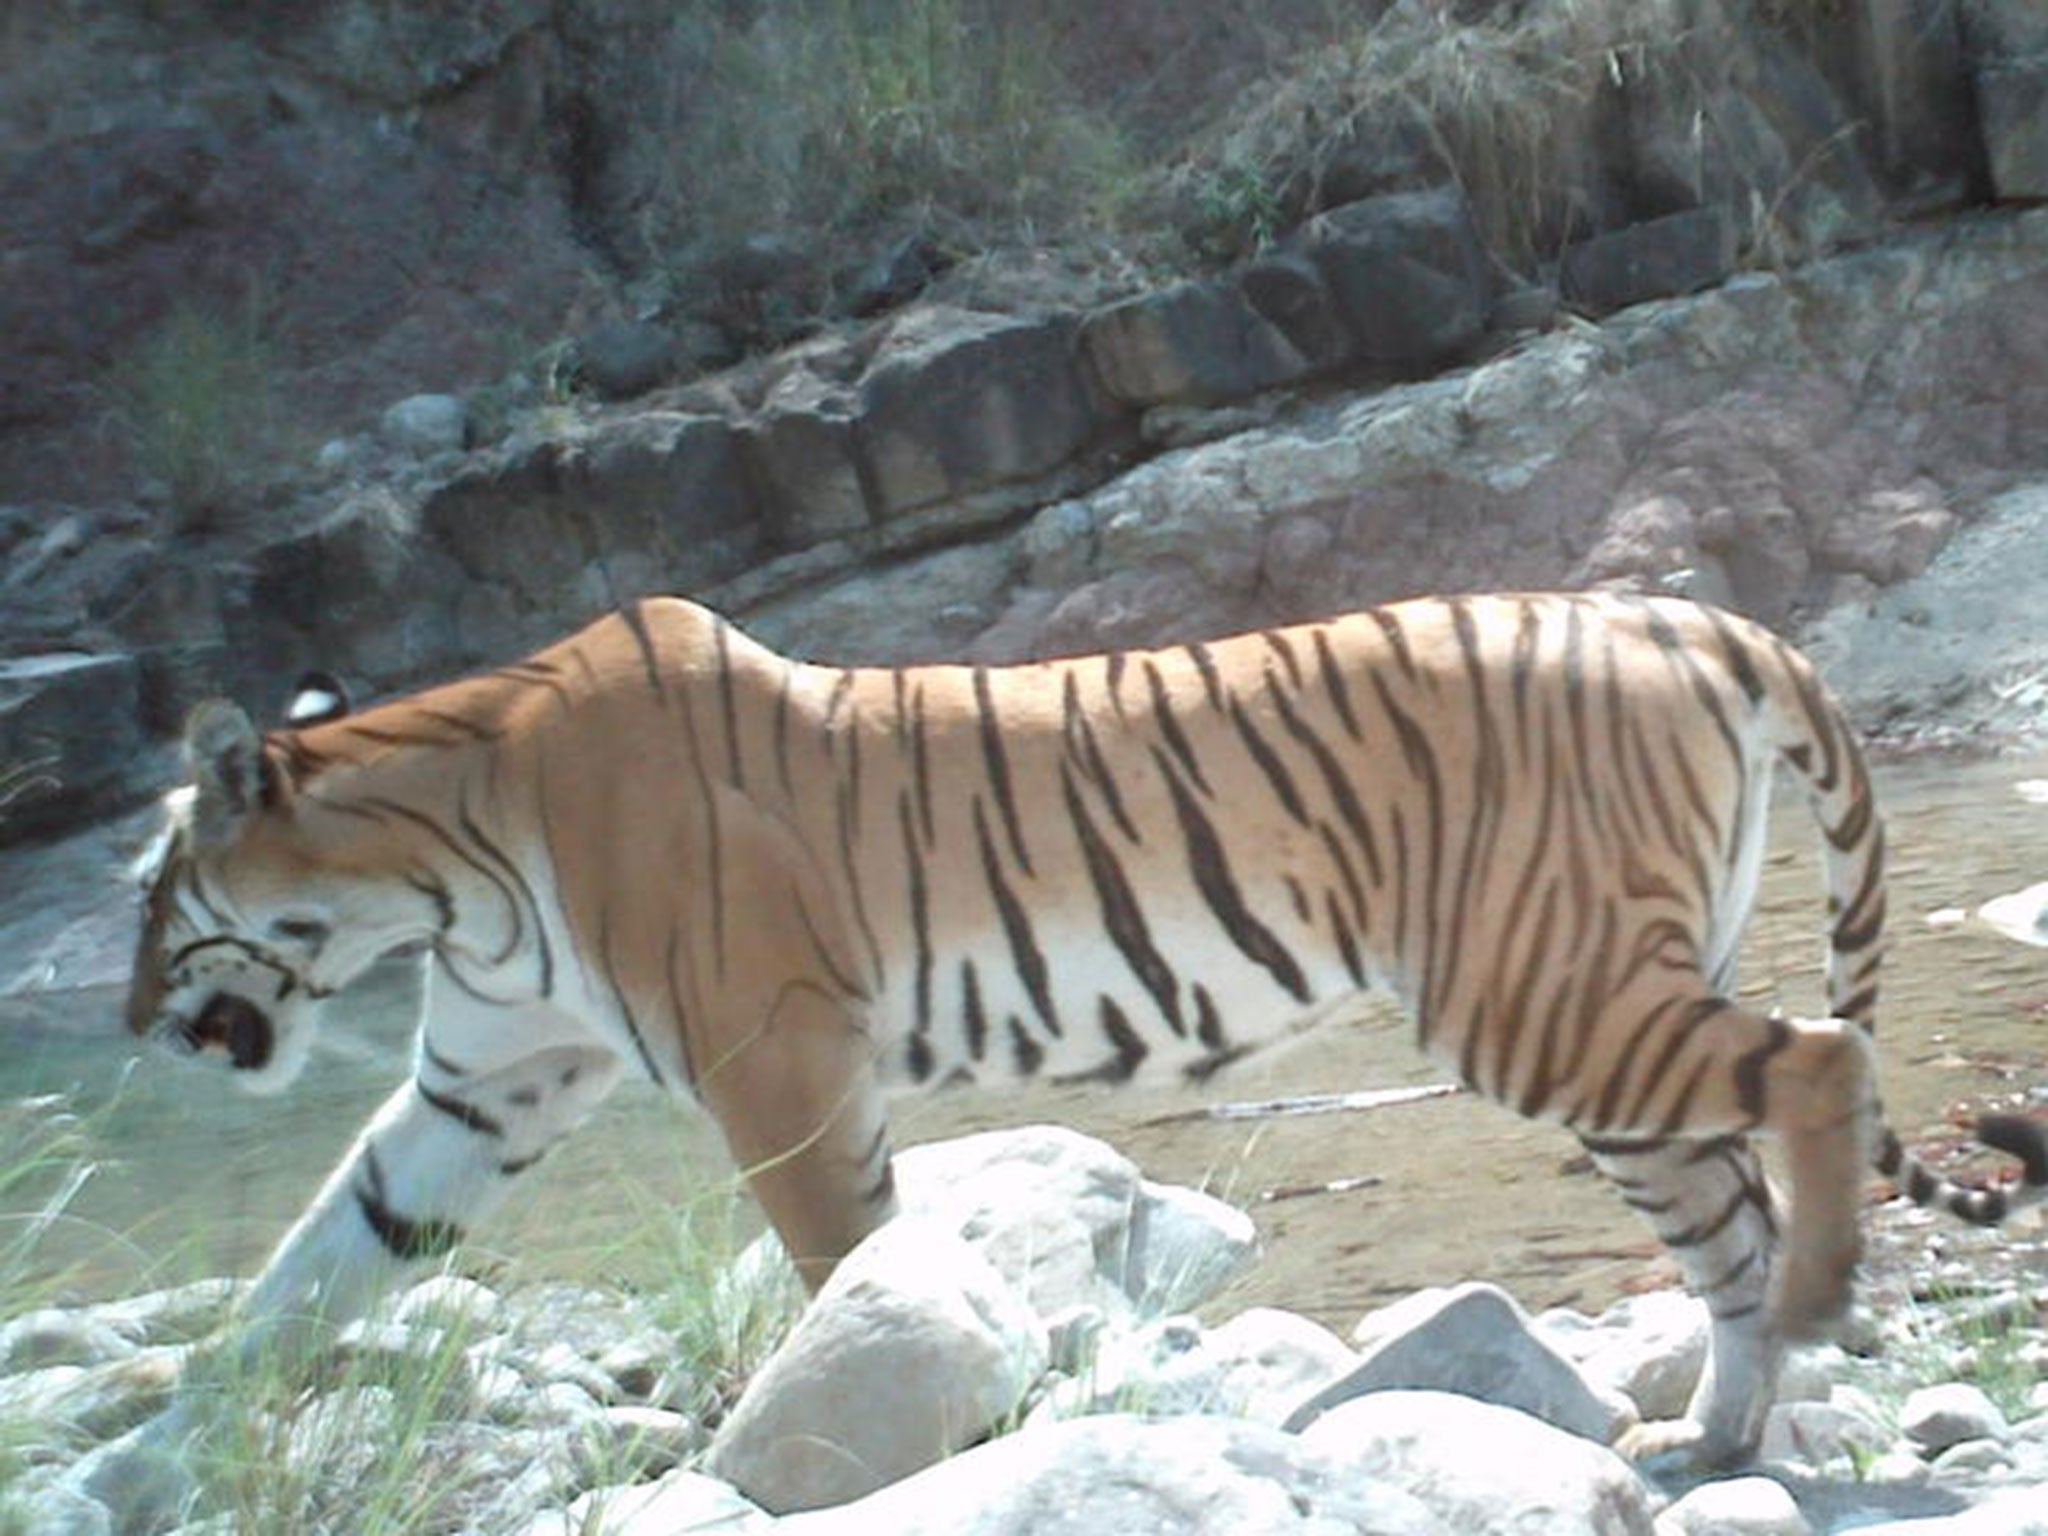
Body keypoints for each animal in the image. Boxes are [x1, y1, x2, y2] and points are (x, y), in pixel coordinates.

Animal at [132, 581, 2048, 1474]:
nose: (136, 1014)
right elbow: (318, 1260)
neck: (438, 868)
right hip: (1600, 1016)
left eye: (152, 897)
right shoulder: (485, 1080)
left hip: (1544, 999)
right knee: (1730, 1204)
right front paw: (171, 1428)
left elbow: (838, 1256)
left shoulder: (776, 1053)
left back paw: (1815, 1311)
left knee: (1821, 1068)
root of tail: (1670, 605)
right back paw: (1715, 1436)